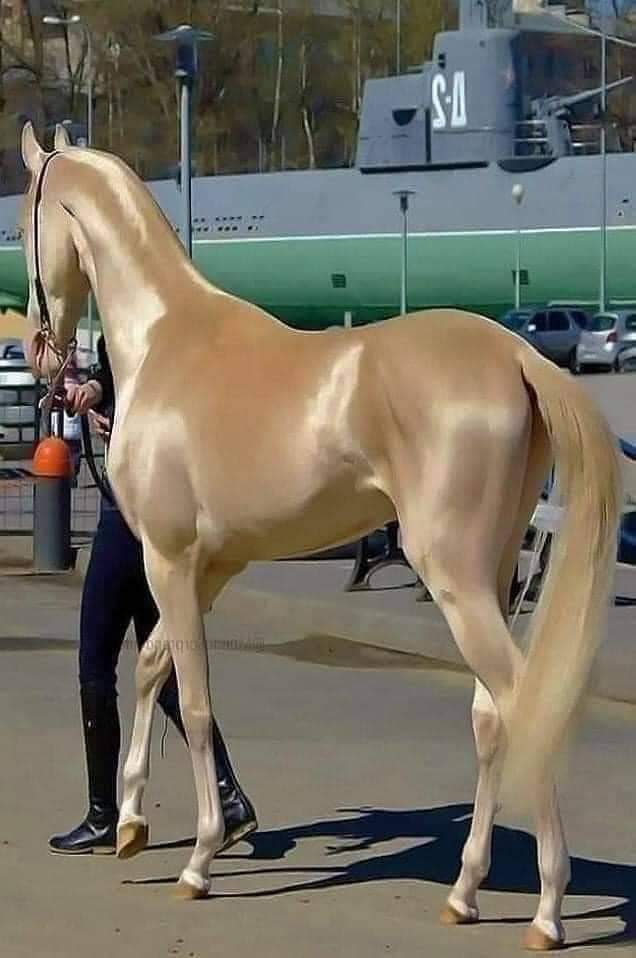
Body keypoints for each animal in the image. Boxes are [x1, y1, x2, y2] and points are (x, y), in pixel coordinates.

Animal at [20, 121, 621, 951]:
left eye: (23, 221)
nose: (40, 351)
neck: (168, 340)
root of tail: (516, 354)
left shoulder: (169, 562)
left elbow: (194, 700)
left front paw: (198, 860)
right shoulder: (211, 568)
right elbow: (150, 669)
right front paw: (135, 822)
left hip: (456, 580)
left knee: (524, 703)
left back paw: (547, 912)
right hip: (491, 577)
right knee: (490, 719)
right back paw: (464, 892)